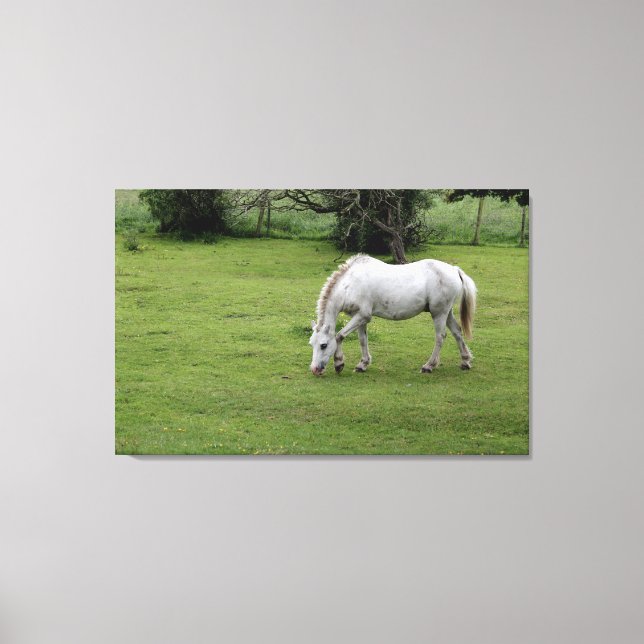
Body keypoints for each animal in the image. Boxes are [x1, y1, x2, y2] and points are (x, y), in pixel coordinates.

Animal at [309, 254, 477, 376]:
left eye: (323, 345)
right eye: (311, 344)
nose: (315, 369)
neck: (349, 285)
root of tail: (454, 269)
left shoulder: (362, 316)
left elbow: (339, 336)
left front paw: (339, 363)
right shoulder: (360, 318)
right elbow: (362, 340)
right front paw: (363, 364)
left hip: (439, 313)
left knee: (440, 337)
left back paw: (429, 366)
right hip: (446, 313)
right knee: (457, 332)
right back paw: (465, 361)